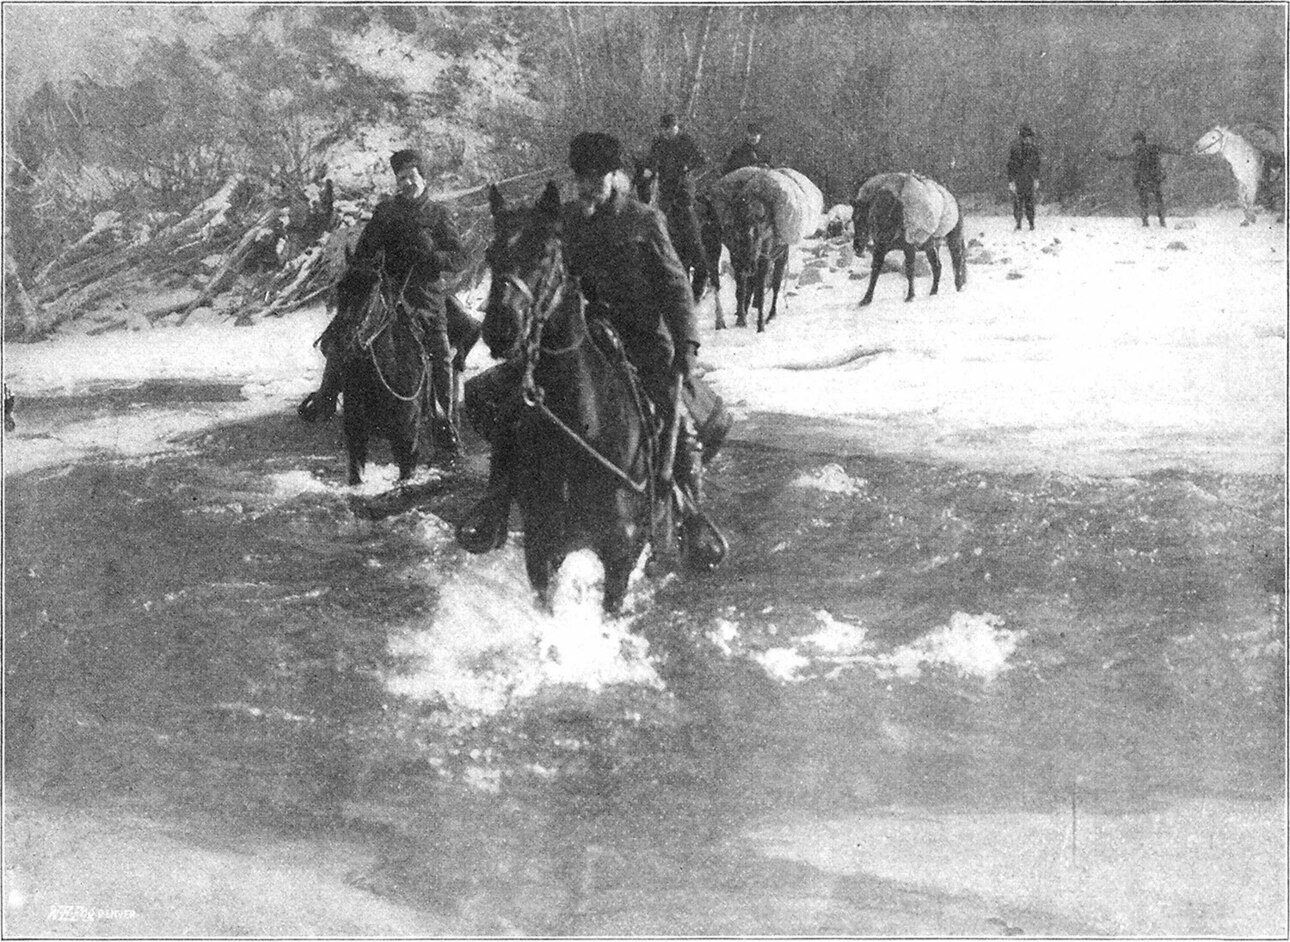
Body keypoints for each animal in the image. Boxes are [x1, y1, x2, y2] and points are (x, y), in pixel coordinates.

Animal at [851, 167, 964, 300]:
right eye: (853, 219)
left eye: (867, 218)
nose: (857, 246)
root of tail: (953, 199)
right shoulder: (880, 248)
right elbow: (875, 271)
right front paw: (866, 299)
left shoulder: (909, 248)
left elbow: (910, 271)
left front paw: (910, 296)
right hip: (931, 246)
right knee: (937, 267)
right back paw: (933, 292)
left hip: (953, 240)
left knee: (957, 262)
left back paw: (958, 287)